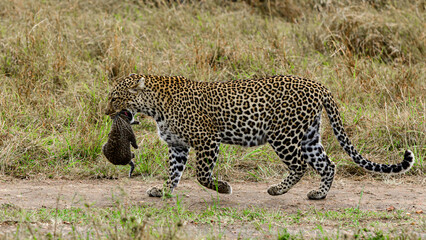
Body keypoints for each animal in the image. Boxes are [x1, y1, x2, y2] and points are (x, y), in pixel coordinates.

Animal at [105, 74, 414, 200]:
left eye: (115, 97)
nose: (107, 112)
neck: (155, 106)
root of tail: (318, 85)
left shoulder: (207, 140)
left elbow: (201, 175)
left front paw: (223, 188)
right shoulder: (178, 146)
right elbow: (174, 173)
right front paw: (164, 192)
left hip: (284, 136)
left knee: (300, 165)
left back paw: (278, 189)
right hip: (309, 136)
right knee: (328, 164)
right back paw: (318, 195)